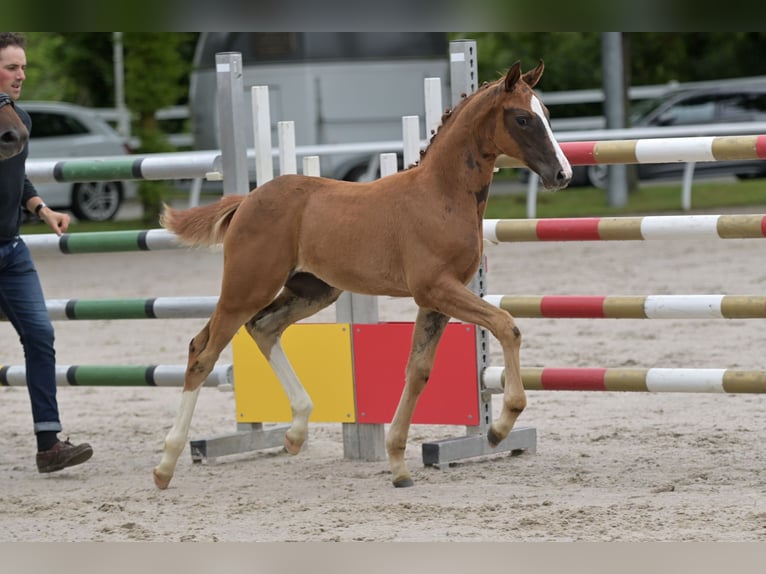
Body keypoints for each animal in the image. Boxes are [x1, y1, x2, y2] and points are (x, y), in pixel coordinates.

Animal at [152, 60, 568, 490]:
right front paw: (500, 427)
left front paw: (398, 463)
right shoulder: (436, 288)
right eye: (522, 118)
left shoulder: (437, 299)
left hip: (314, 291)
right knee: (203, 352)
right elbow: (506, 325)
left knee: (263, 328)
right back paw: (166, 465)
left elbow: (418, 370)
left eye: (546, 114)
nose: (562, 174)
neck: (441, 194)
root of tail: (247, 200)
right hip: (246, 288)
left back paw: (296, 431)